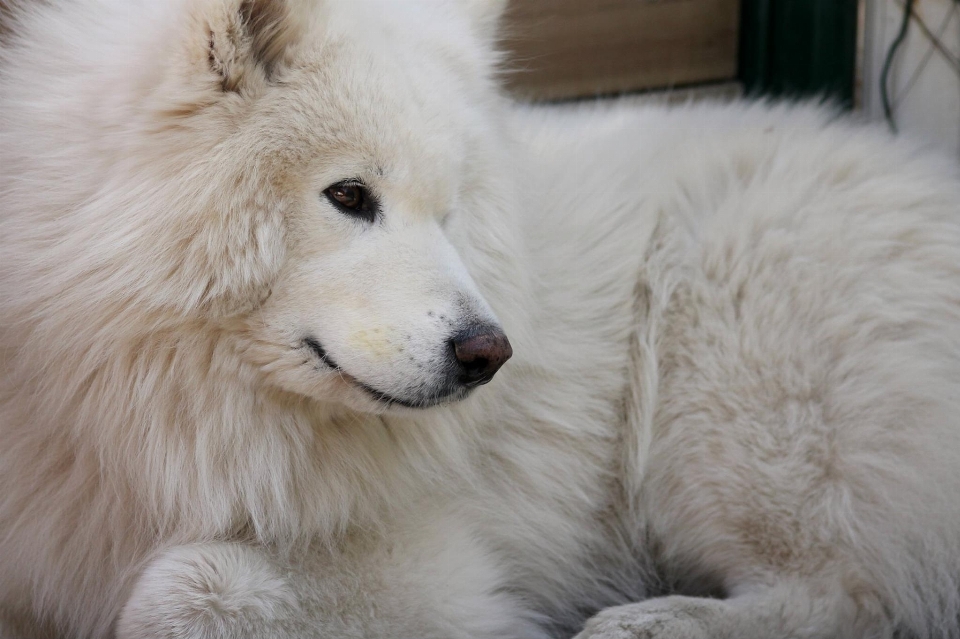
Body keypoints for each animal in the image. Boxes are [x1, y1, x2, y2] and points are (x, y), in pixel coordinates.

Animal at [1, 1, 960, 639]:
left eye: (449, 211)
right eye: (349, 195)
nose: (489, 353)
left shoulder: (443, 570)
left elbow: (178, 583)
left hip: (727, 399)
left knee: (851, 592)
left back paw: (647, 623)